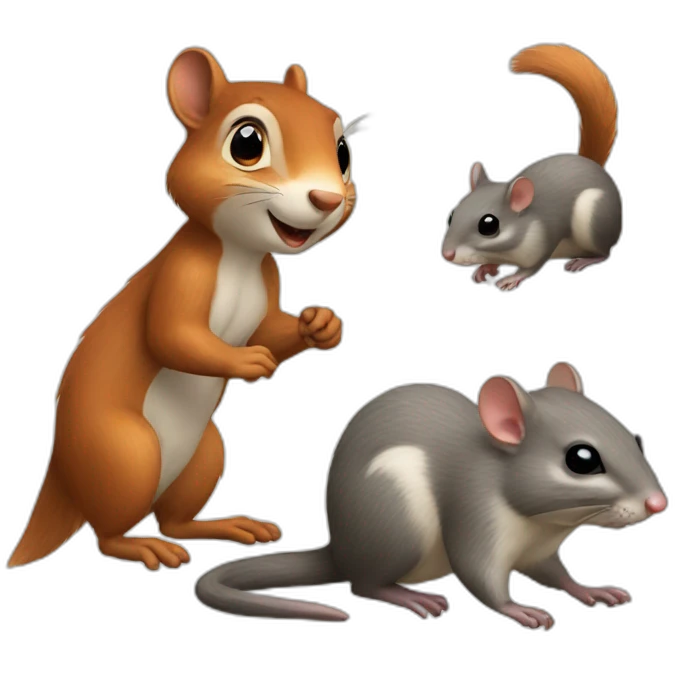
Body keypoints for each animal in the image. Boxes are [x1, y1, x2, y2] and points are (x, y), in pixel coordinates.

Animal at [7, 47, 359, 571]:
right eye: (247, 142)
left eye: (342, 152)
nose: (328, 197)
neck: (239, 254)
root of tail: (62, 472)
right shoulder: (183, 275)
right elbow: (172, 336)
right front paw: (246, 361)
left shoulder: (267, 284)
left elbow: (269, 329)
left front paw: (321, 326)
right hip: (126, 454)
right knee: (108, 534)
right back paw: (144, 546)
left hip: (205, 455)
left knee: (174, 519)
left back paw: (230, 525)